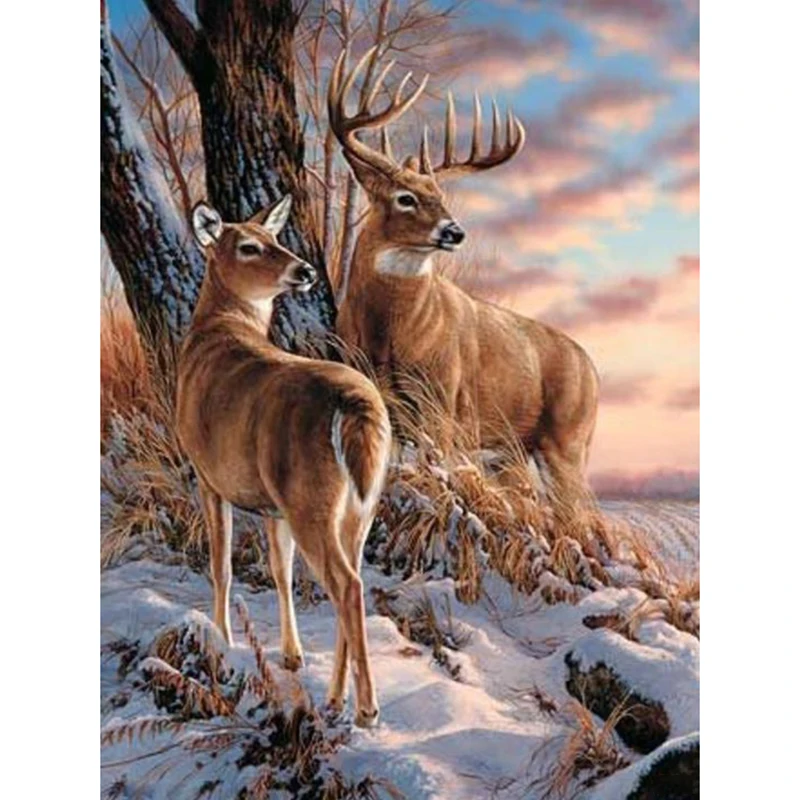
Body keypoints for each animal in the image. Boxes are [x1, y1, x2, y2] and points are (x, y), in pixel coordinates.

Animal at [175, 196, 392, 727]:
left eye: (276, 238)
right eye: (250, 246)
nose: (306, 269)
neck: (218, 333)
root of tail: (356, 405)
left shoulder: (207, 474)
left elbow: (221, 565)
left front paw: (223, 641)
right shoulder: (270, 504)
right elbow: (279, 570)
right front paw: (292, 655)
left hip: (310, 499)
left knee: (347, 585)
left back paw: (367, 709)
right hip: (360, 503)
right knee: (352, 579)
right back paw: (334, 699)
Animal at [328, 47, 599, 521]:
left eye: (441, 197)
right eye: (405, 198)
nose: (455, 232)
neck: (390, 333)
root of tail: (593, 371)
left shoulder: (443, 403)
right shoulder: (381, 399)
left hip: (568, 440)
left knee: (581, 515)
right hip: (512, 450)